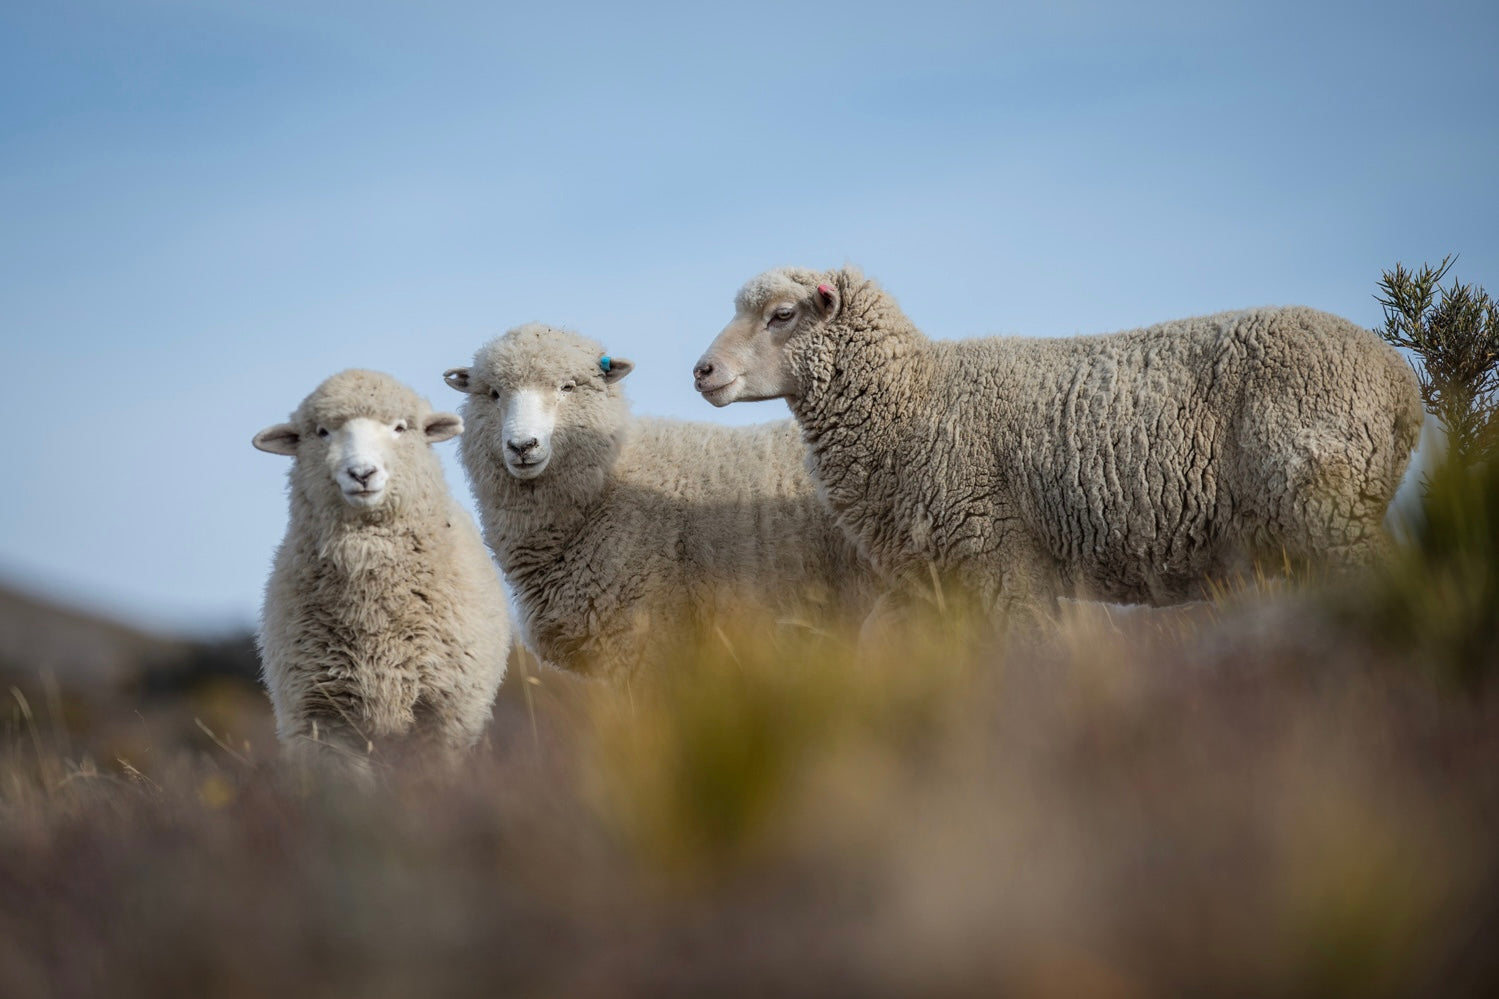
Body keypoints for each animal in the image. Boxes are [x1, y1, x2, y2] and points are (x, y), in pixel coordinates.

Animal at [695, 264, 1421, 624]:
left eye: (781, 316)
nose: (701, 371)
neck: (915, 397)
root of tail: (1401, 385)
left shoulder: (999, 560)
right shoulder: (940, 584)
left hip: (1328, 510)